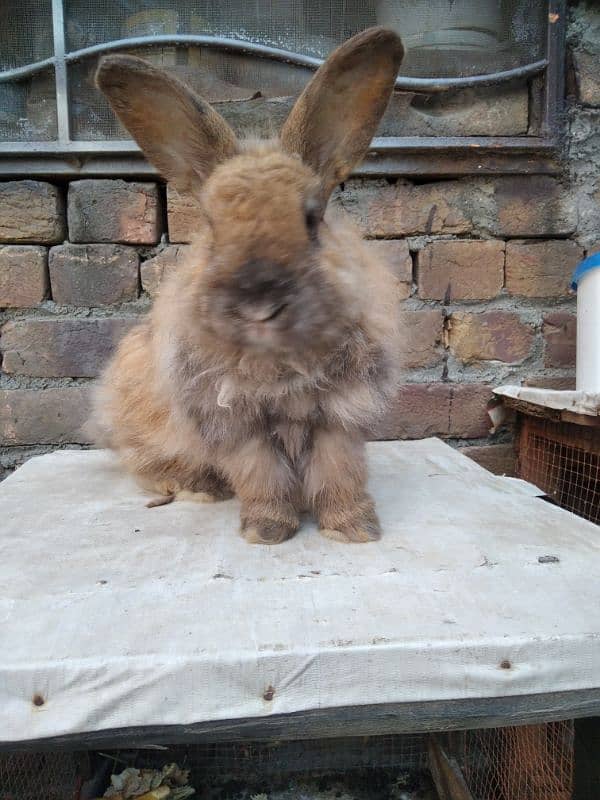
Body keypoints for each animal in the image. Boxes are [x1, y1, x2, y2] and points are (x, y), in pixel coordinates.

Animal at [91, 28, 406, 548]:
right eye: (212, 225)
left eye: (312, 219)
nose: (259, 304)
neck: (277, 357)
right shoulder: (236, 422)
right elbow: (262, 475)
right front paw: (267, 531)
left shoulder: (339, 416)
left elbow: (339, 473)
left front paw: (354, 530)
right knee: (147, 464)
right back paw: (198, 486)